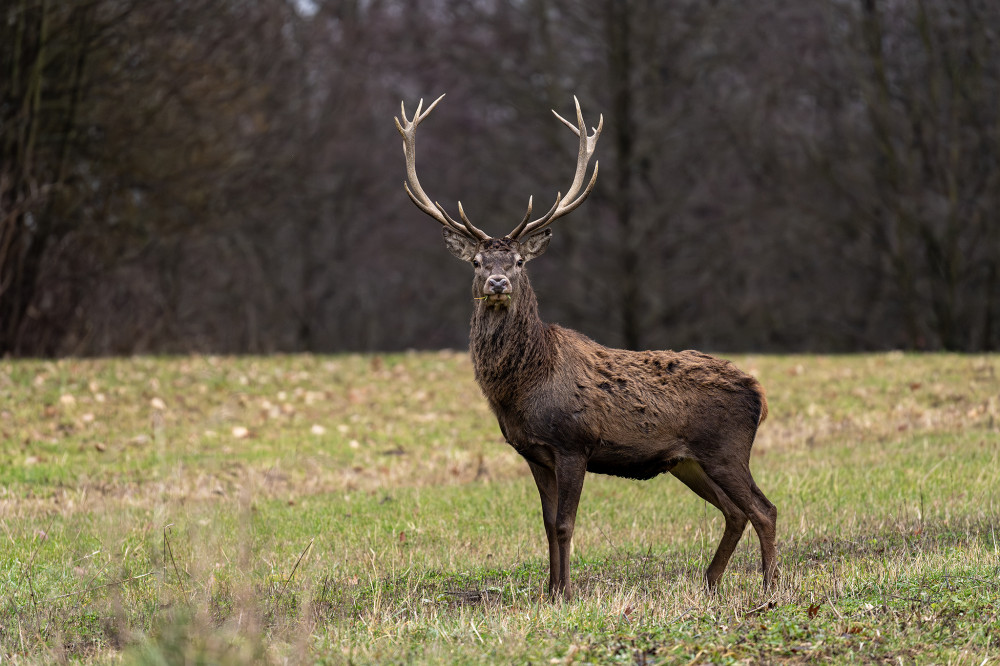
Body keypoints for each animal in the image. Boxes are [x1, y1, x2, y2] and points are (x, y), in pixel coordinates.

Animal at [394, 93, 776, 596]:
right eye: (476, 261)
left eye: (518, 261)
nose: (498, 282)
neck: (524, 387)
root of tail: (760, 393)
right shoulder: (534, 452)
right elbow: (544, 523)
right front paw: (551, 591)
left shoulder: (574, 443)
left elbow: (564, 524)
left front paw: (567, 593)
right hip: (687, 461)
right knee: (736, 511)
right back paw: (710, 583)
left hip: (726, 448)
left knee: (763, 509)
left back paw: (770, 588)